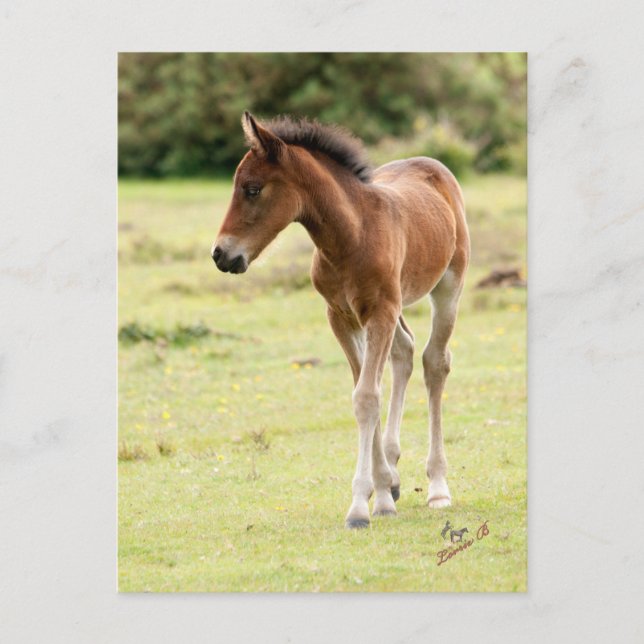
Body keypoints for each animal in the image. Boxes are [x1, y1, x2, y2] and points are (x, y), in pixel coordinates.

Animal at [212, 112, 470, 529]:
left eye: (252, 189)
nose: (220, 254)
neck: (353, 235)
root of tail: (431, 164)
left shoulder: (379, 311)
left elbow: (366, 396)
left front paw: (362, 507)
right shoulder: (341, 316)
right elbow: (364, 390)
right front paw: (382, 493)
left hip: (448, 286)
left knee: (435, 362)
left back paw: (437, 488)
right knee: (404, 352)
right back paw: (395, 474)